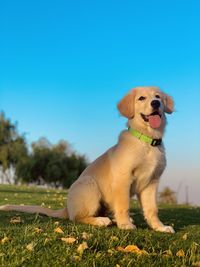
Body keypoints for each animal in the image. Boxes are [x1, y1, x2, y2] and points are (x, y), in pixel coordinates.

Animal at [0, 87, 174, 233]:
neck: (147, 141)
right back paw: (101, 221)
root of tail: (67, 208)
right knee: (77, 217)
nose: (156, 103)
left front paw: (160, 227)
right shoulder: (123, 178)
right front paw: (125, 224)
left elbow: (152, 209)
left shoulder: (152, 182)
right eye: (141, 98)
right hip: (89, 184)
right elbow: (124, 204)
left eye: (158, 96)